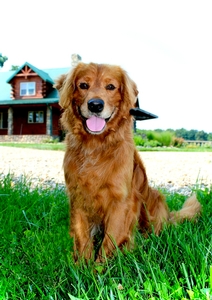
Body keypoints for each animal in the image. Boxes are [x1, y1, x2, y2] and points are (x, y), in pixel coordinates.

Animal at [54, 62, 200, 262]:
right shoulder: (78, 196)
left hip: (155, 199)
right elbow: (81, 234)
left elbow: (110, 240)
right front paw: (82, 265)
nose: (95, 105)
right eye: (83, 85)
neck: (96, 146)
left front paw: (100, 267)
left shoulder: (120, 200)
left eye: (111, 87)